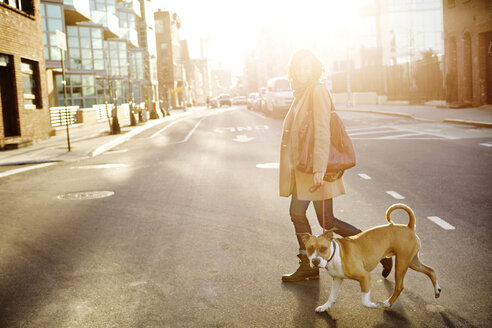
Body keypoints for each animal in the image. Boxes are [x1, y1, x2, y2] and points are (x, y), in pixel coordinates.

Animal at [298, 202, 440, 310]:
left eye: (323, 248)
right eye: (310, 249)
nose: (315, 261)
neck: (335, 254)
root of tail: (409, 227)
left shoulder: (364, 276)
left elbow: (365, 301)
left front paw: (375, 305)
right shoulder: (337, 279)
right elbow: (331, 296)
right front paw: (324, 307)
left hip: (402, 263)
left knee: (400, 286)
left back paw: (387, 303)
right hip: (412, 262)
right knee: (430, 270)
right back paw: (437, 290)